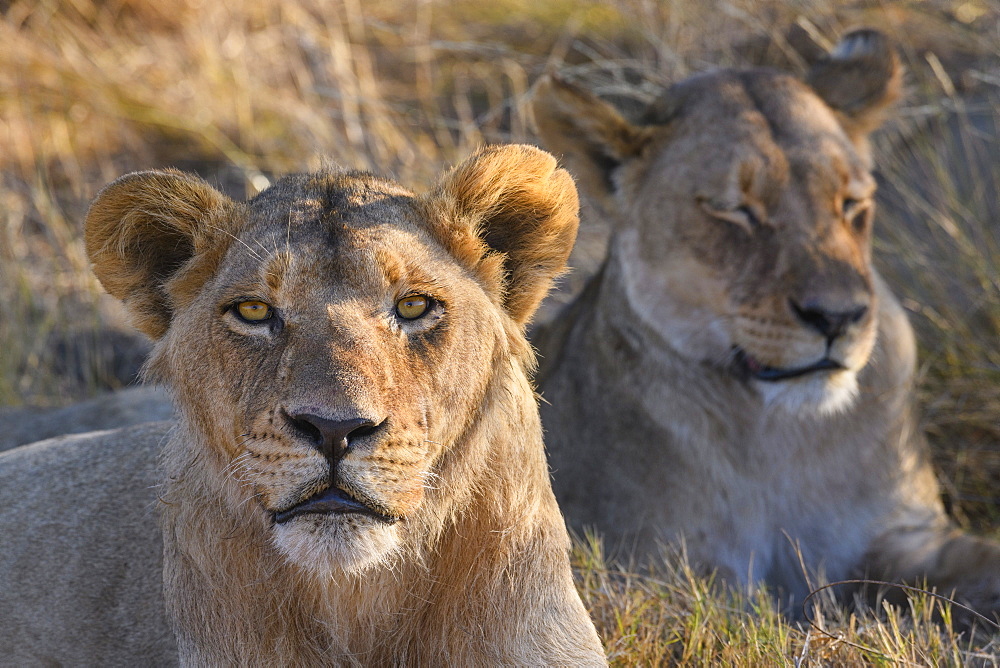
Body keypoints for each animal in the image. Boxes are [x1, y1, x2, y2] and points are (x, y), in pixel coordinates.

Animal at [536, 27, 1000, 620]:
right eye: (734, 209)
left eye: (852, 202)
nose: (837, 316)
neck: (780, 436)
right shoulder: (665, 570)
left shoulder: (905, 536)